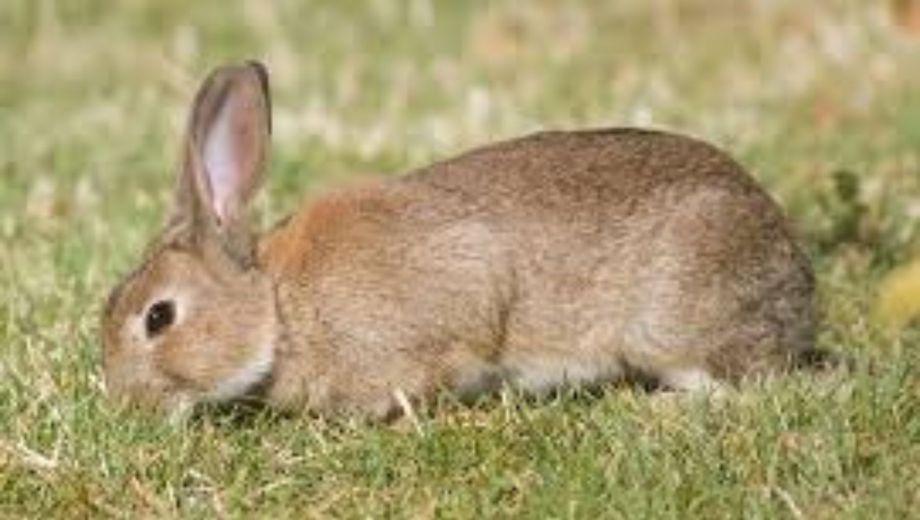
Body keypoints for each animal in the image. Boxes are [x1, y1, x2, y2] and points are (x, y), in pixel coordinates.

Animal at [101, 61, 816, 420]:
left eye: (158, 318)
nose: (127, 407)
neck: (280, 309)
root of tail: (798, 284)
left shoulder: (461, 287)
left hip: (670, 320)